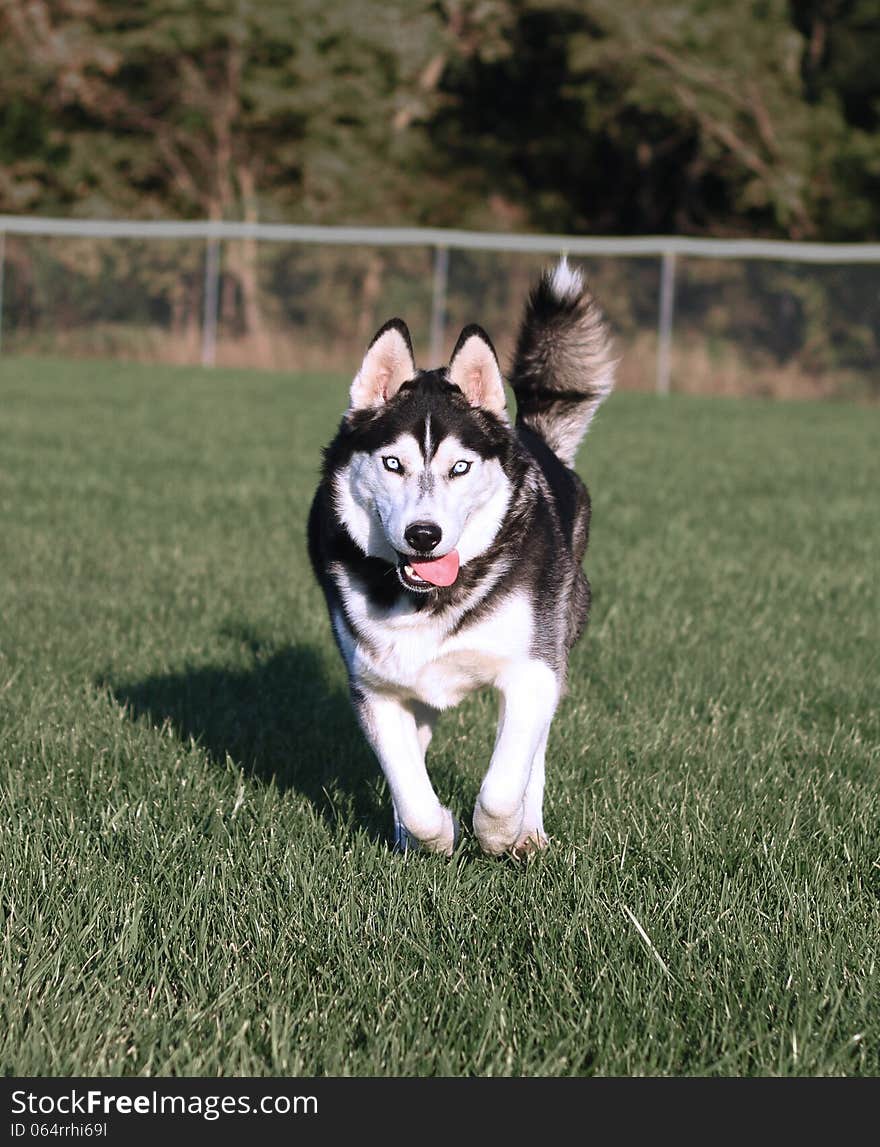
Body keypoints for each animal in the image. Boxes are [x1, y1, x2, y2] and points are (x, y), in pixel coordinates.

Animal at [309, 258, 614, 853]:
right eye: (393, 463)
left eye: (459, 467)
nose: (424, 535)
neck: (428, 597)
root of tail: (533, 437)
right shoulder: (376, 688)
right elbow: (412, 792)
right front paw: (433, 835)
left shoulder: (533, 674)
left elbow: (502, 786)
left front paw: (498, 838)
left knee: (533, 758)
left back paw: (529, 834)